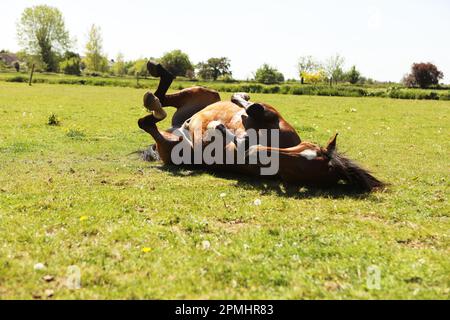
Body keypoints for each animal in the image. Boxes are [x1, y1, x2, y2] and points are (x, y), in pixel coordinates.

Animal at [137, 62, 384, 192]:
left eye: (293, 172)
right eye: (307, 147)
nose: (259, 152)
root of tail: (176, 128)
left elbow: (249, 116)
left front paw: (223, 126)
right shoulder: (271, 115)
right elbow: (251, 106)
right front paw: (241, 98)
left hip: (175, 148)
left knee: (147, 121)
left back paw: (156, 105)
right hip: (206, 93)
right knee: (163, 97)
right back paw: (156, 77)